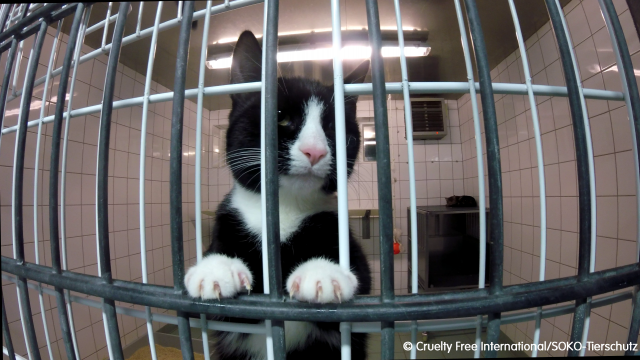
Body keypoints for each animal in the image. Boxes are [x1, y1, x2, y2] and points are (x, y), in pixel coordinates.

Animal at [185, 31, 372, 360]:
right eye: (281, 117)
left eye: (333, 127)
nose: (315, 150)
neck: (283, 207)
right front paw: (216, 267)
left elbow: (362, 277)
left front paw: (323, 271)